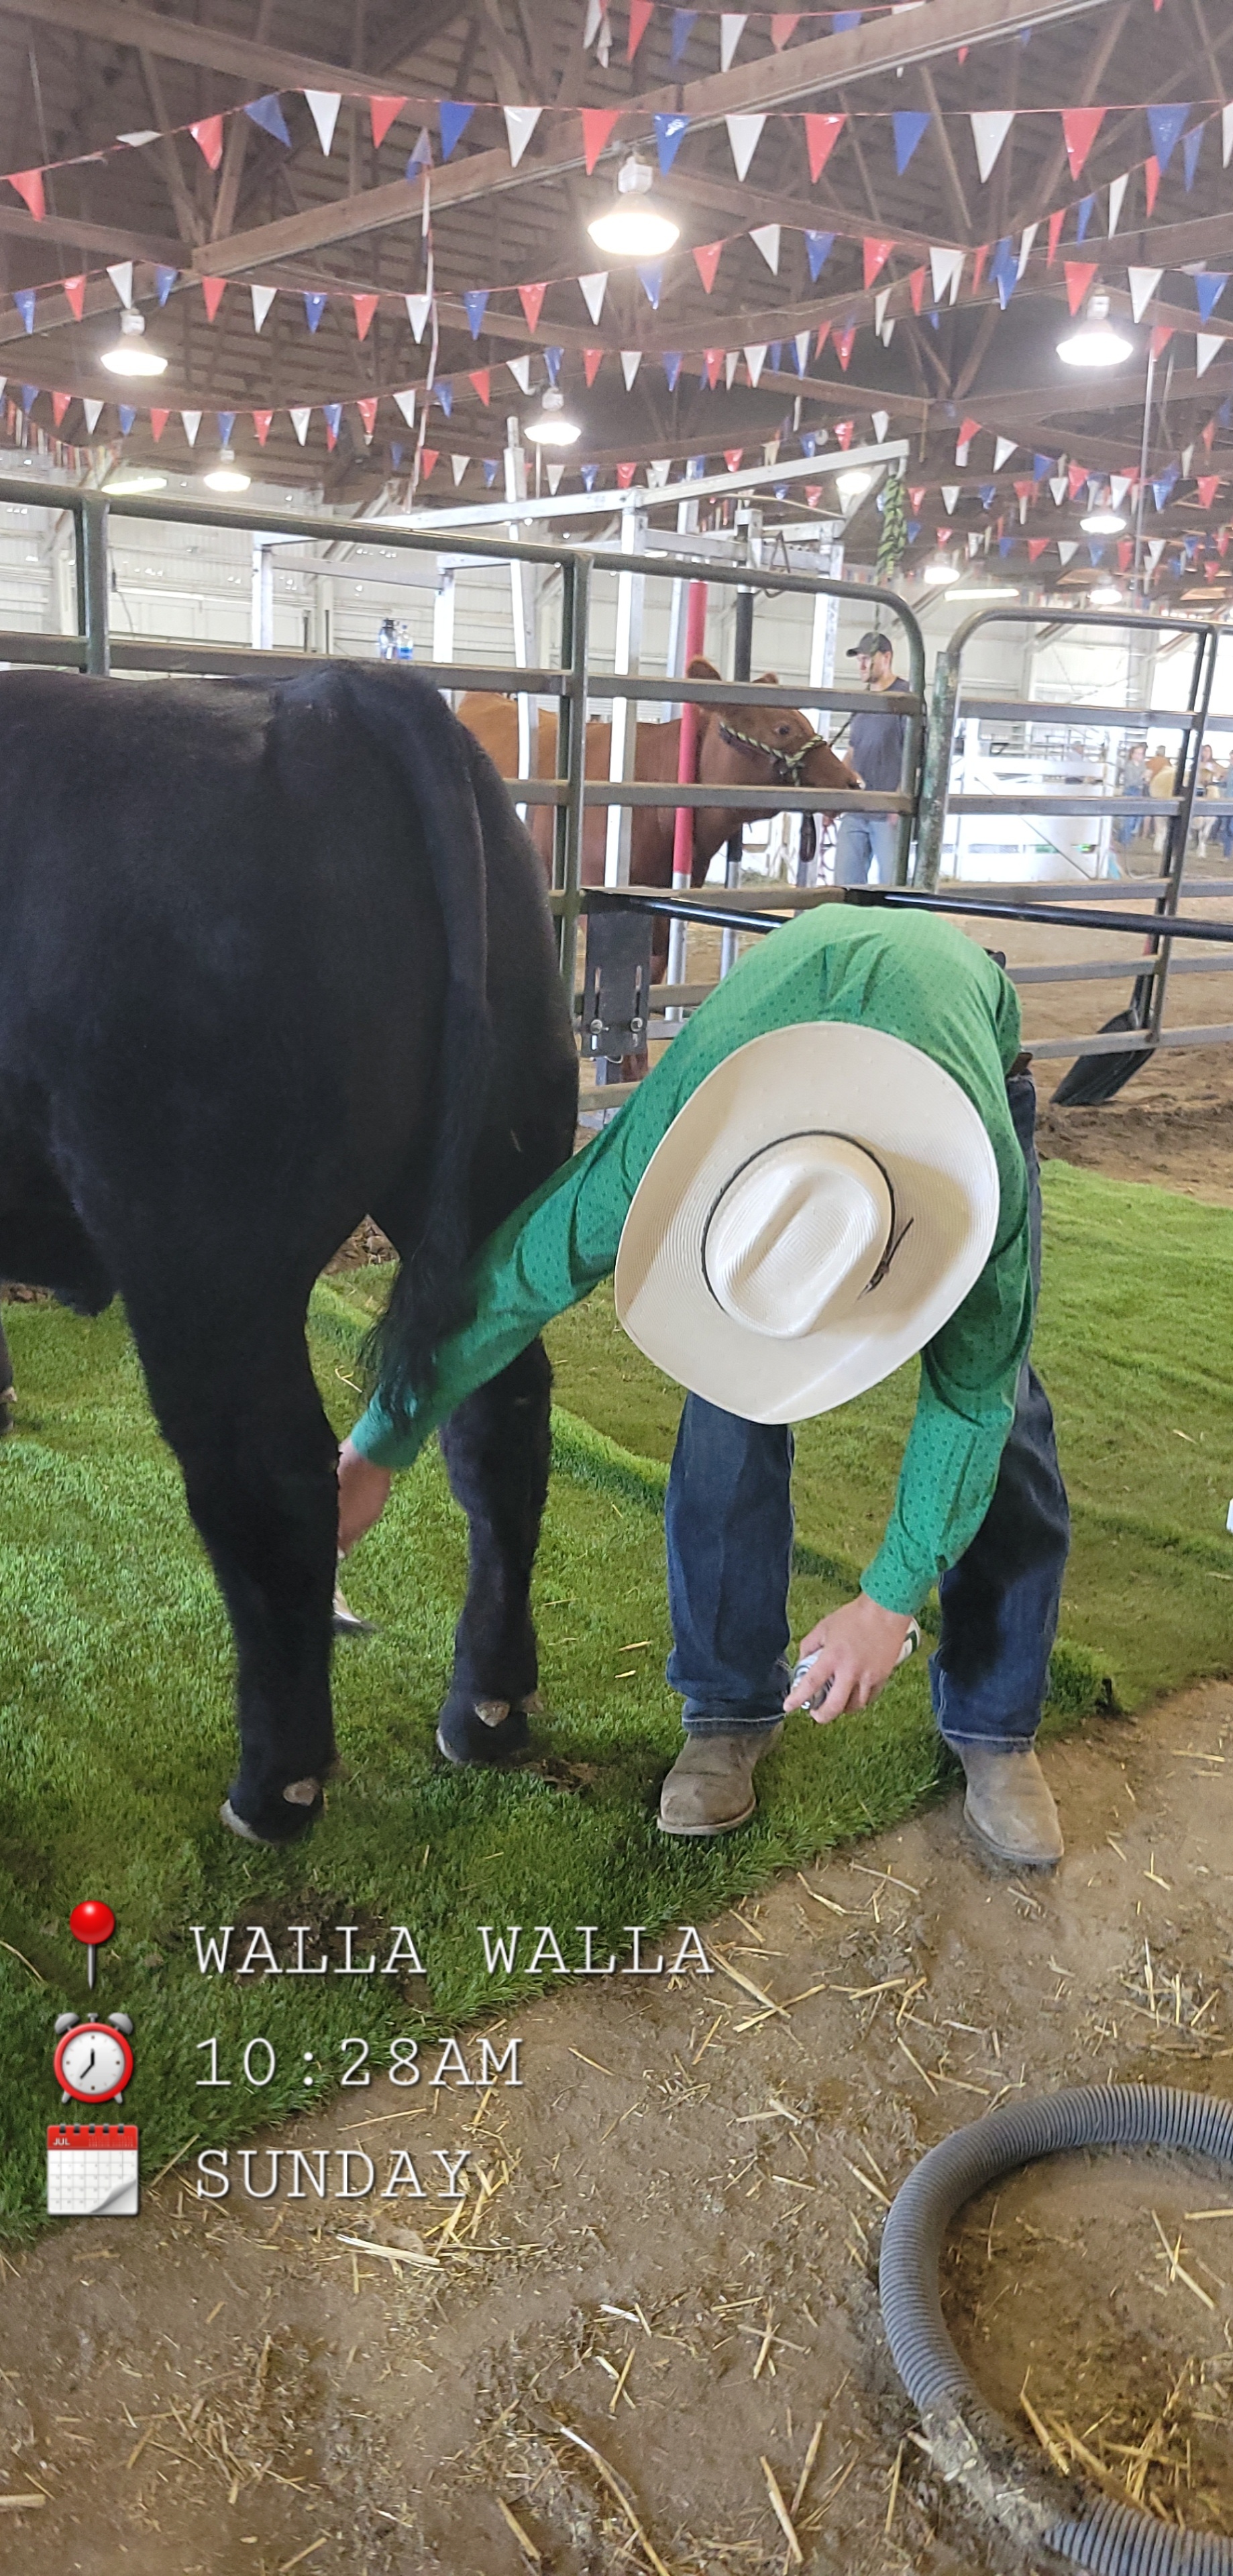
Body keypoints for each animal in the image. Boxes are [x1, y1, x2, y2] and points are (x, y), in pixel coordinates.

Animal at [0, 663, 579, 1845]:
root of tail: (326, 702)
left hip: (200, 1243)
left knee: (267, 1479)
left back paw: (275, 1787)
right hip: (507, 1153)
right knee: (500, 1417)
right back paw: (487, 1708)